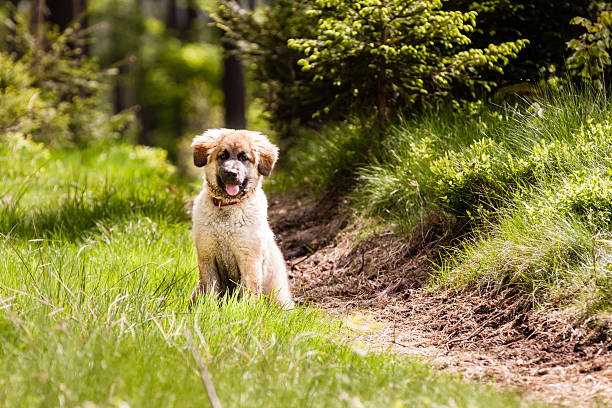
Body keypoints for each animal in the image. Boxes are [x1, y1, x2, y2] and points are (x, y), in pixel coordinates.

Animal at [190, 129, 292, 308]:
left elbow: (247, 291)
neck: (227, 207)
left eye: (244, 157)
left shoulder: (249, 258)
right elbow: (209, 289)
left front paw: (242, 310)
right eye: (223, 156)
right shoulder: (207, 256)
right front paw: (207, 309)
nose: (231, 173)